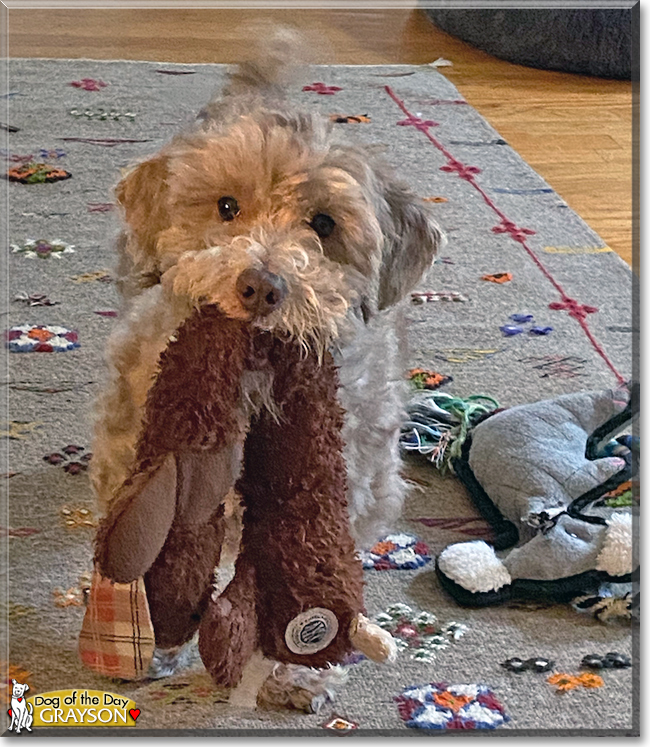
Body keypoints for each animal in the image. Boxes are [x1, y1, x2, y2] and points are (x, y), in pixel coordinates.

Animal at [90, 30, 440, 712]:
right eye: (227, 206)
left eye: (324, 224)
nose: (262, 285)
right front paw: (155, 638)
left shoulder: (347, 475)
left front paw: (299, 671)